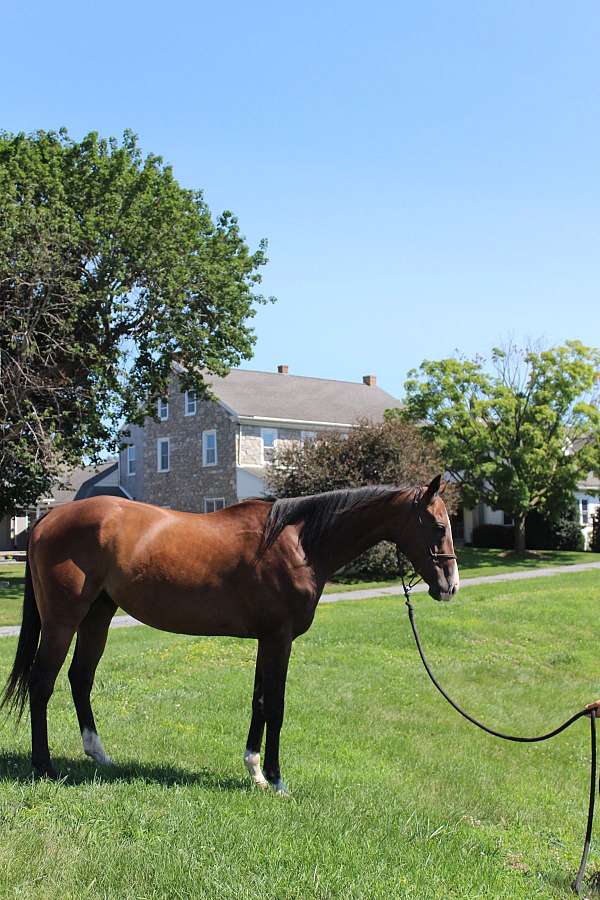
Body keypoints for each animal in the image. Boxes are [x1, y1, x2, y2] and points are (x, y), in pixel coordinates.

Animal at [1, 474, 459, 790]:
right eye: (437, 526)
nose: (449, 585)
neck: (299, 543)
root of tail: (49, 518)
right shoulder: (279, 639)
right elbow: (276, 705)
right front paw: (276, 778)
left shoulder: (267, 640)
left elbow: (259, 701)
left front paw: (254, 771)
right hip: (63, 620)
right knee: (42, 684)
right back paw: (44, 766)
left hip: (98, 614)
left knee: (80, 678)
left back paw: (99, 754)